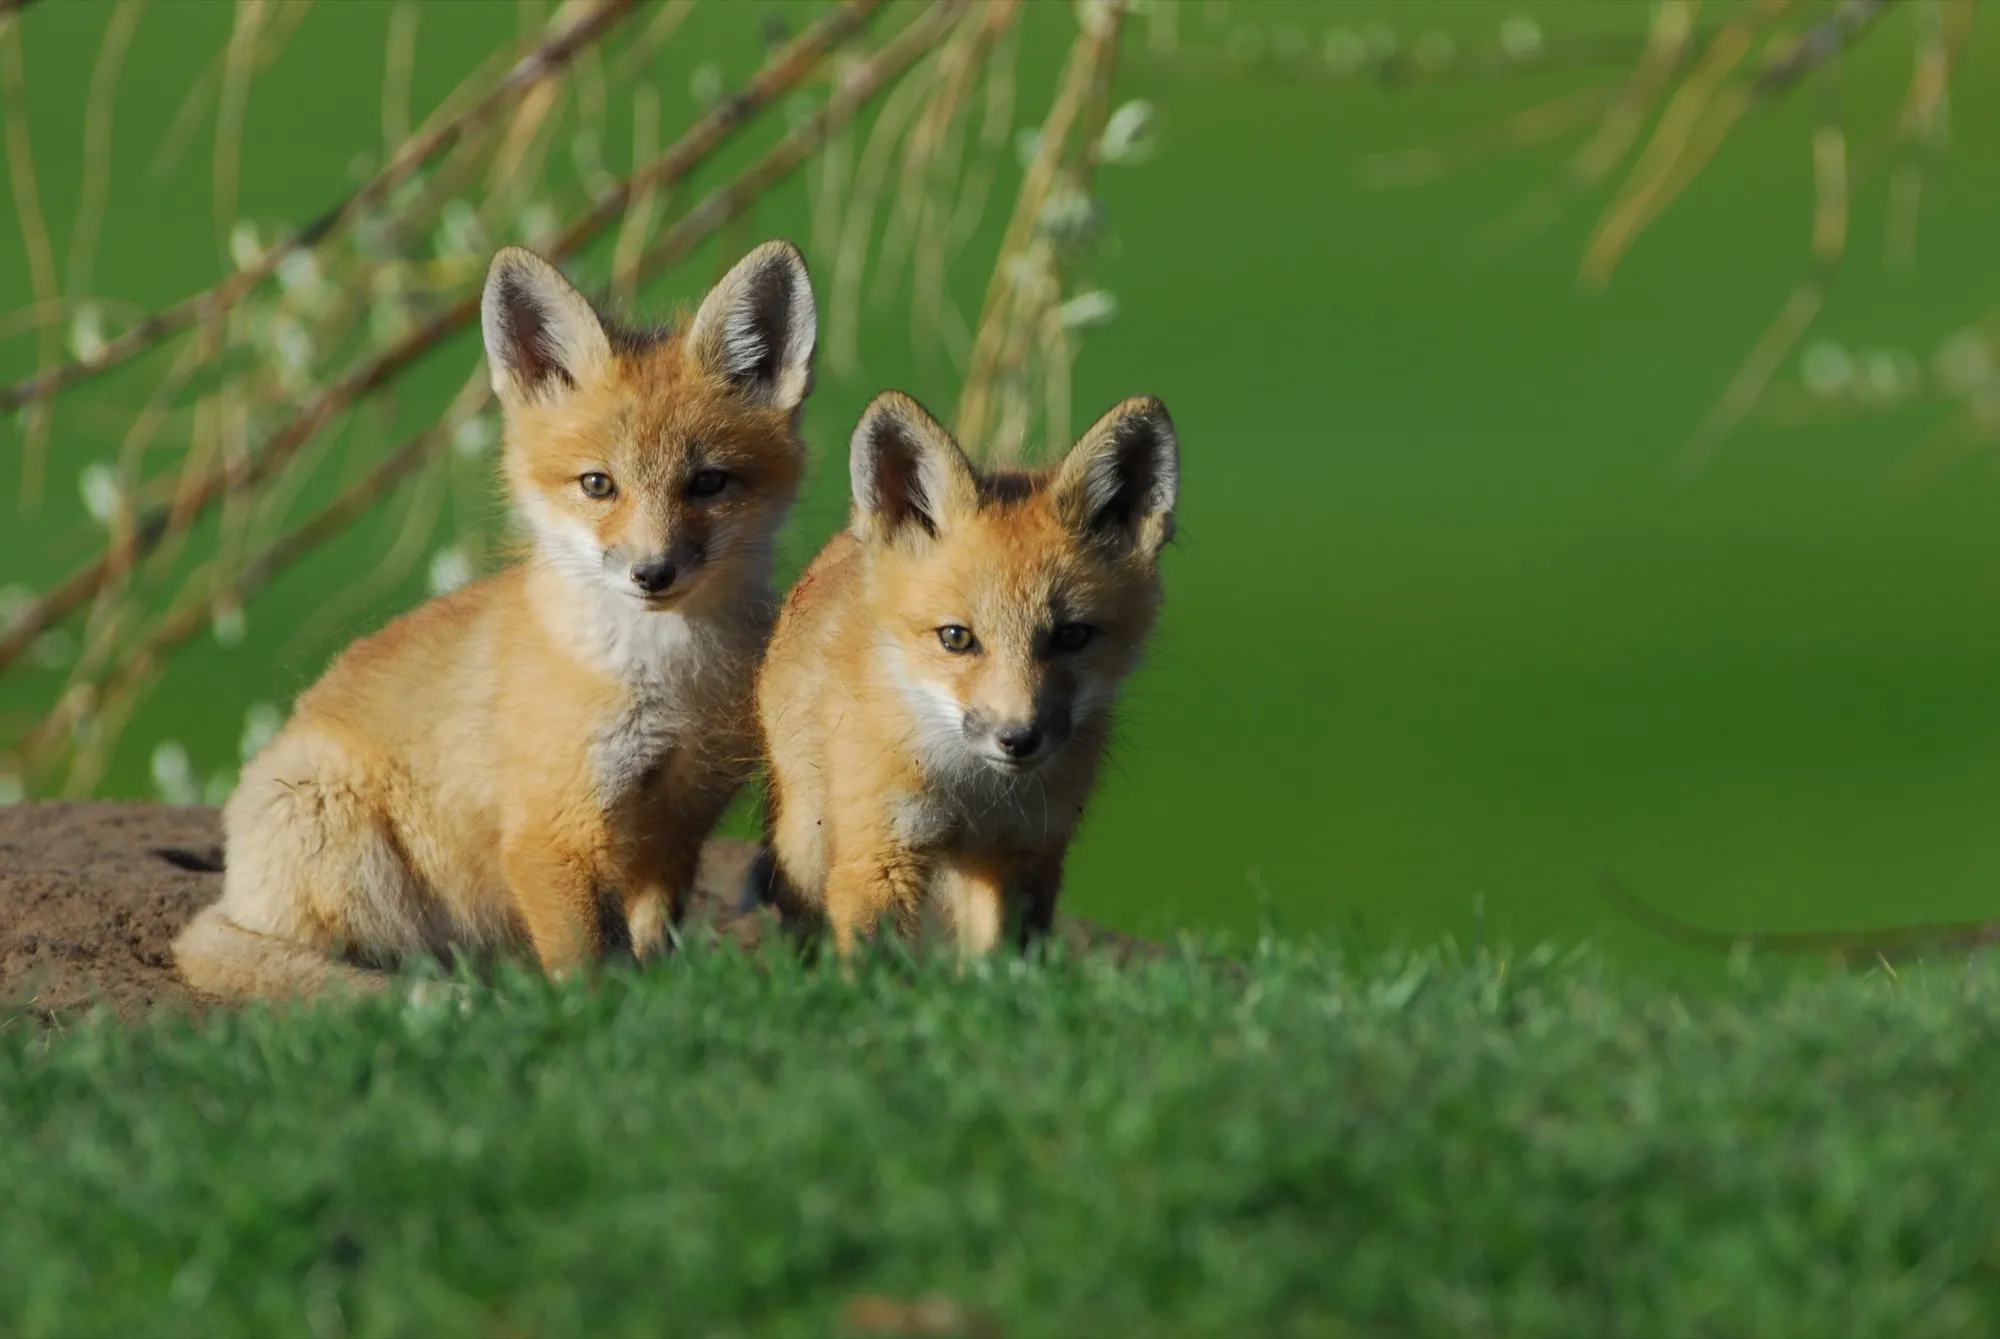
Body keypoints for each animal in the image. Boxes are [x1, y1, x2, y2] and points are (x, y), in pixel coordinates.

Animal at [172, 239, 818, 999]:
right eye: (597, 484)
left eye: (708, 483)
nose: (651, 573)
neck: (669, 684)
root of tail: (233, 886)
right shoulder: (551, 832)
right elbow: (590, 965)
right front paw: (598, 1014)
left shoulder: (677, 823)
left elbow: (651, 940)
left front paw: (661, 997)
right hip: (342, 830)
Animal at [750, 389, 1179, 955]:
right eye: (956, 637)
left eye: (1071, 636)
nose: (1018, 739)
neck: (976, 794)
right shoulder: (880, 854)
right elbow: (876, 960)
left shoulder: (1025, 854)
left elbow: (1003, 959)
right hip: (806, 836)